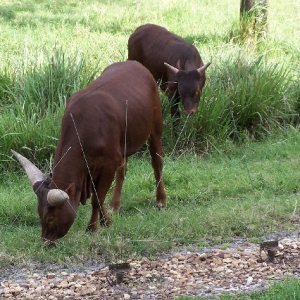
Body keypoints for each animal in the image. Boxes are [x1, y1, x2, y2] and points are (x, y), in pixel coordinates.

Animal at [11, 60, 166, 246]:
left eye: (50, 218)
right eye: (40, 215)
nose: (46, 243)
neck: (85, 126)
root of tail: (135, 63)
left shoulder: (108, 164)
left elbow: (97, 198)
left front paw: (93, 228)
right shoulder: (91, 168)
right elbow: (99, 195)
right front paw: (106, 221)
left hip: (155, 128)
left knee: (157, 161)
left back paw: (161, 200)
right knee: (123, 169)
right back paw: (115, 205)